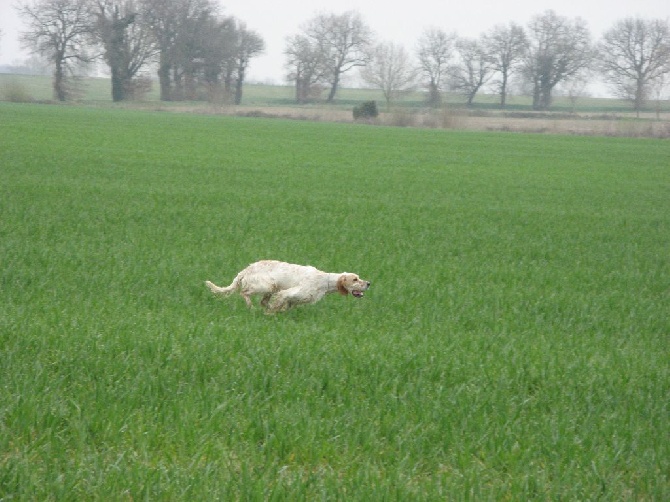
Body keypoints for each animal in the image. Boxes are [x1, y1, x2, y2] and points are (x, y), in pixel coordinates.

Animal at [206, 260, 372, 312]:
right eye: (355, 279)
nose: (369, 283)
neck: (324, 281)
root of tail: (245, 270)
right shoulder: (290, 293)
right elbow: (280, 302)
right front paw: (272, 313)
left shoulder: (294, 299)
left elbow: (285, 306)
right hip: (267, 285)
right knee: (245, 293)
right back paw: (251, 308)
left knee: (263, 302)